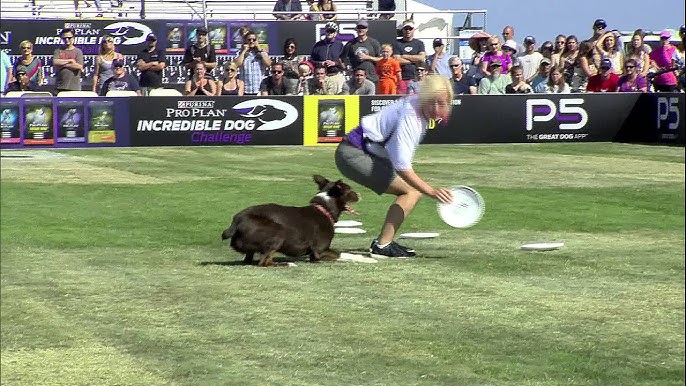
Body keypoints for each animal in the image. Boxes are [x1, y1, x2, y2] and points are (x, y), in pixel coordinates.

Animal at [222, 175, 362, 266]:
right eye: (350, 190)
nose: (360, 195)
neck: (324, 209)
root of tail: (237, 220)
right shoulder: (319, 251)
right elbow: (343, 254)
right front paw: (364, 258)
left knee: (249, 260)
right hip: (278, 231)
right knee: (264, 262)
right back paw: (287, 264)